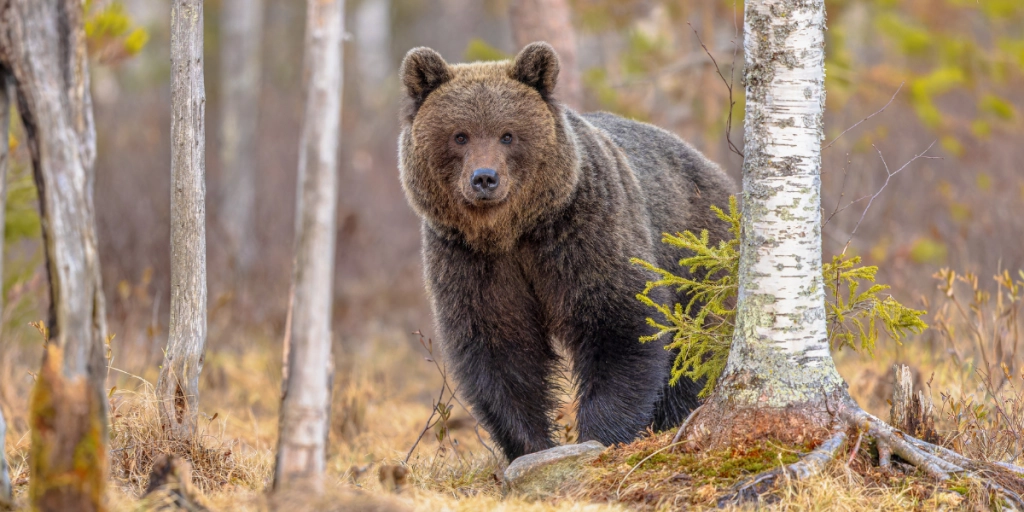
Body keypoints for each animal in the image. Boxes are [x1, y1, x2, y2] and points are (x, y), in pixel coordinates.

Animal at [398, 42, 736, 460]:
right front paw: (531, 445)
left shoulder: (583, 232)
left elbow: (618, 322)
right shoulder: (469, 260)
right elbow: (499, 347)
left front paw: (601, 433)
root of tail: (715, 170)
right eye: (460, 135)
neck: (513, 232)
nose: (484, 178)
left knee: (695, 342)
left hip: (694, 252)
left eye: (507, 134)